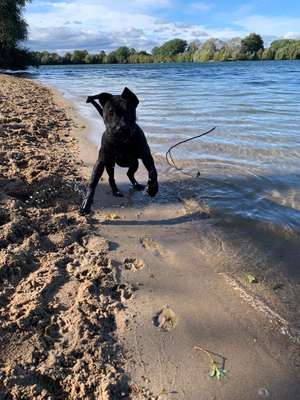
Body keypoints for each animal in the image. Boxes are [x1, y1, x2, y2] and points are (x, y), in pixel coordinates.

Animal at [79, 86, 159, 214]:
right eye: (110, 112)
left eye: (128, 111)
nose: (119, 128)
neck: (122, 142)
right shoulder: (101, 161)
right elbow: (93, 182)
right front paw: (86, 204)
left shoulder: (146, 155)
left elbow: (153, 171)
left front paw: (153, 188)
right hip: (110, 164)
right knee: (112, 177)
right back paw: (115, 191)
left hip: (134, 163)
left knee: (129, 173)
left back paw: (136, 185)